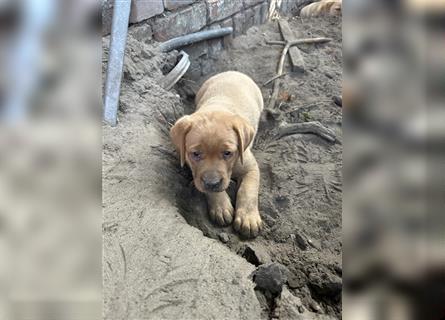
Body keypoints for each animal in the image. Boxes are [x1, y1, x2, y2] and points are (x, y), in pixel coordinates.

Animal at [168, 72, 262, 238]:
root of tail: (232, 72)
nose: (212, 183)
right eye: (195, 154)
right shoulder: (196, 171)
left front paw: (248, 218)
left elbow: (248, 191)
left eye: (227, 153)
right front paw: (221, 206)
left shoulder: (251, 168)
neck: (218, 106)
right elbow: (209, 188)